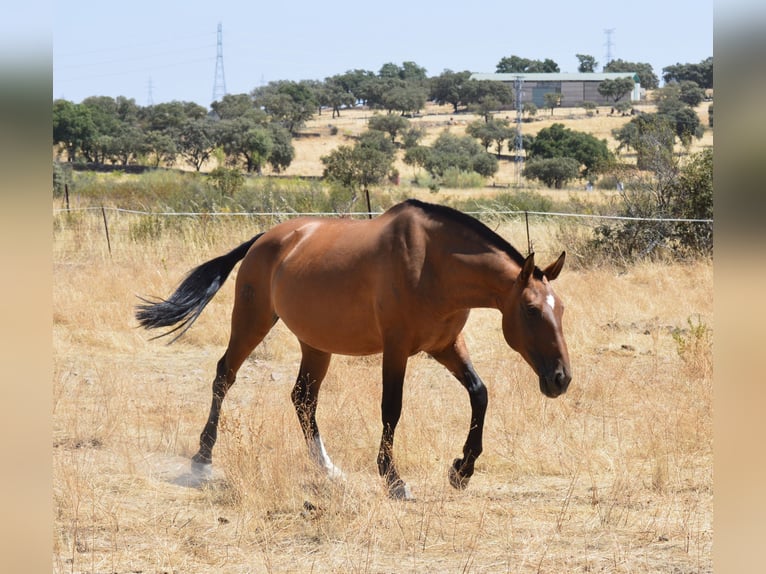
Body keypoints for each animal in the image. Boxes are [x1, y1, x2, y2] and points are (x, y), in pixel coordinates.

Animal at [136, 198, 568, 500]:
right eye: (531, 310)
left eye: (561, 308)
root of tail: (265, 239)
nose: (561, 379)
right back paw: (202, 459)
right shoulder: (396, 348)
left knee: (303, 399)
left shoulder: (446, 346)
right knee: (225, 376)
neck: (433, 263)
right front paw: (393, 479)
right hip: (251, 321)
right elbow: (391, 409)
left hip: (315, 344)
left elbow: (480, 394)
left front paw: (461, 470)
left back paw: (327, 469)